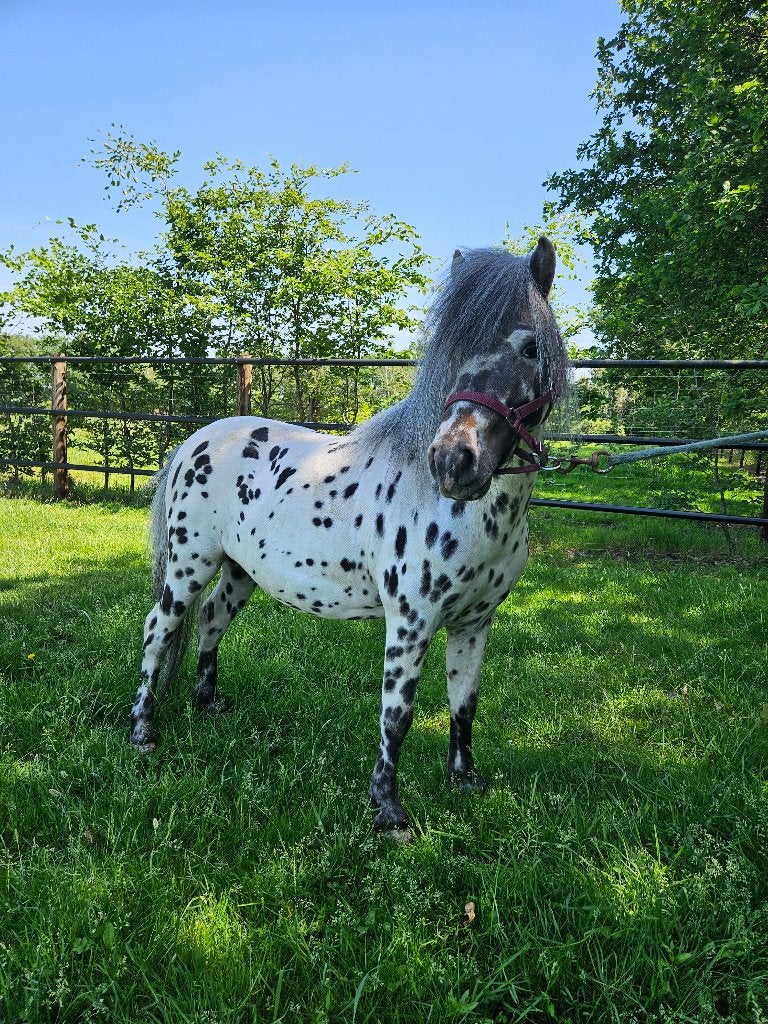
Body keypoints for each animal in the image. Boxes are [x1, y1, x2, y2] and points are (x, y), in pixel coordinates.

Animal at [130, 238, 568, 832]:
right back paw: (143, 730)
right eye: (452, 352)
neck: (471, 517)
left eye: (529, 348)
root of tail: (195, 442)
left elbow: (464, 701)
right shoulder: (411, 622)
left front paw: (464, 780)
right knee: (159, 630)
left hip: (240, 571)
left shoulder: (474, 623)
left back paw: (206, 703)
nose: (454, 462)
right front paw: (388, 810)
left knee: (211, 619)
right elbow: (398, 714)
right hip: (187, 566)